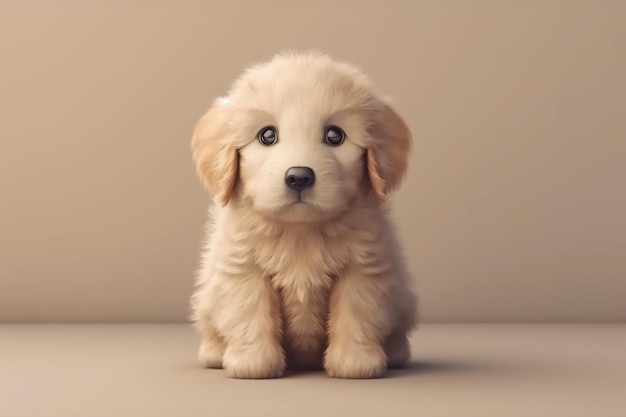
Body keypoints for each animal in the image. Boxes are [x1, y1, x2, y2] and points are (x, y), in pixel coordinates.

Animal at [188, 50, 416, 378]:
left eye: (335, 135)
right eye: (267, 135)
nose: (299, 177)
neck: (301, 230)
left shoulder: (362, 269)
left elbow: (357, 313)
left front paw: (355, 363)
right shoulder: (243, 268)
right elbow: (250, 312)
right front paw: (253, 363)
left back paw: (396, 354)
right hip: (207, 302)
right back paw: (215, 354)